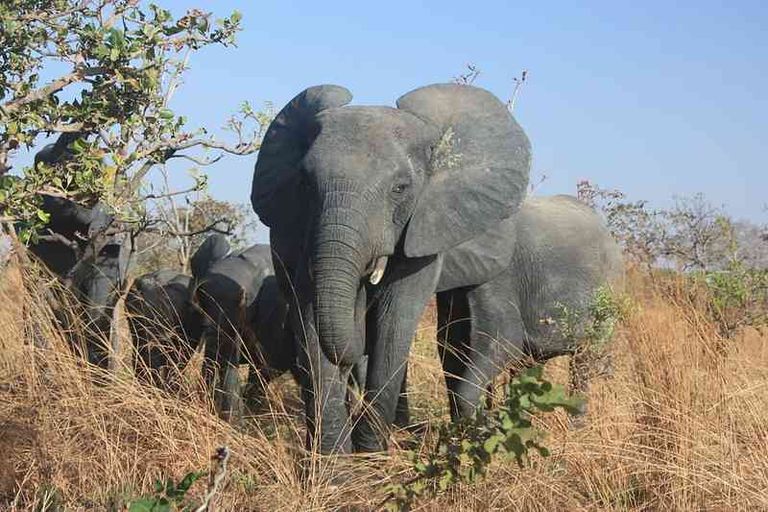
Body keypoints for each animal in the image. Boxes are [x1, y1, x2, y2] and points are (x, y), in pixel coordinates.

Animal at [249, 82, 532, 454]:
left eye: (400, 189)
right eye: (305, 183)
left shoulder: (424, 225)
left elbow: (394, 320)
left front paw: (370, 456)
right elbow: (310, 317)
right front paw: (333, 464)